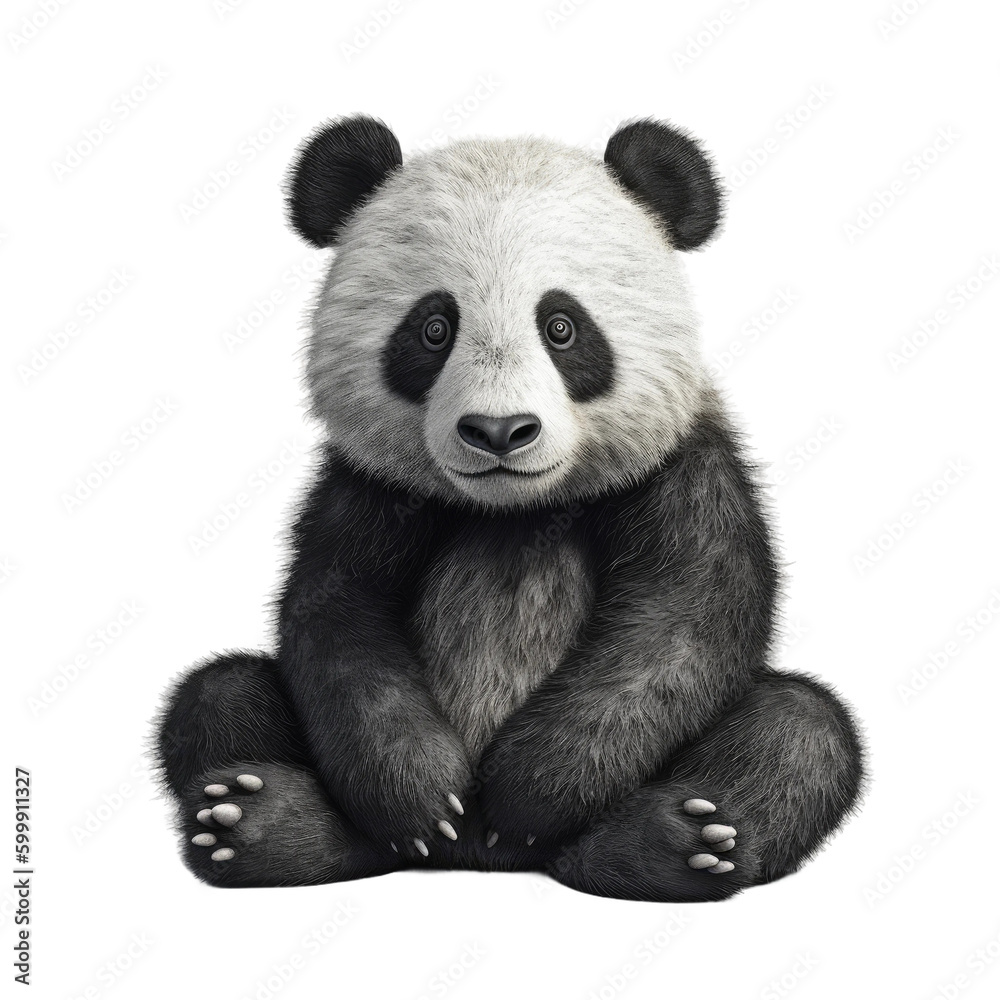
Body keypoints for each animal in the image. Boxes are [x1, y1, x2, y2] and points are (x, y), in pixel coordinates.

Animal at [154, 115, 864, 902]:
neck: (517, 510)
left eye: (562, 327)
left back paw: (678, 838)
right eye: (434, 329)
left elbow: (683, 619)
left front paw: (528, 794)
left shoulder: (681, 468)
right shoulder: (367, 488)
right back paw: (256, 820)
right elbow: (336, 617)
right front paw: (421, 796)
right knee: (219, 694)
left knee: (802, 727)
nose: (498, 431)